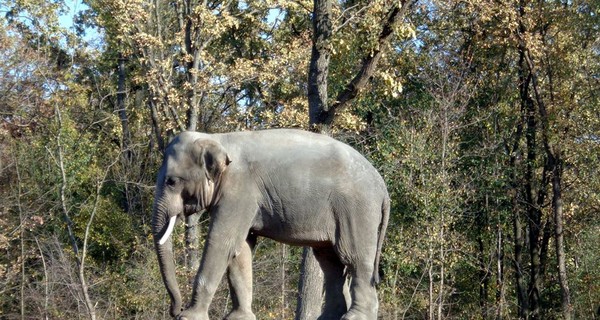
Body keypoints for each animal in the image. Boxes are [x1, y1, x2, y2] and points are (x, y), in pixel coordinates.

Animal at [152, 129, 392, 318]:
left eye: (171, 181)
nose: (176, 310)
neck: (218, 139)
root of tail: (382, 186)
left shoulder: (240, 191)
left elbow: (222, 242)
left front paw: (190, 317)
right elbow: (241, 249)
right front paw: (239, 318)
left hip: (357, 209)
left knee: (354, 258)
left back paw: (355, 317)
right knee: (330, 263)